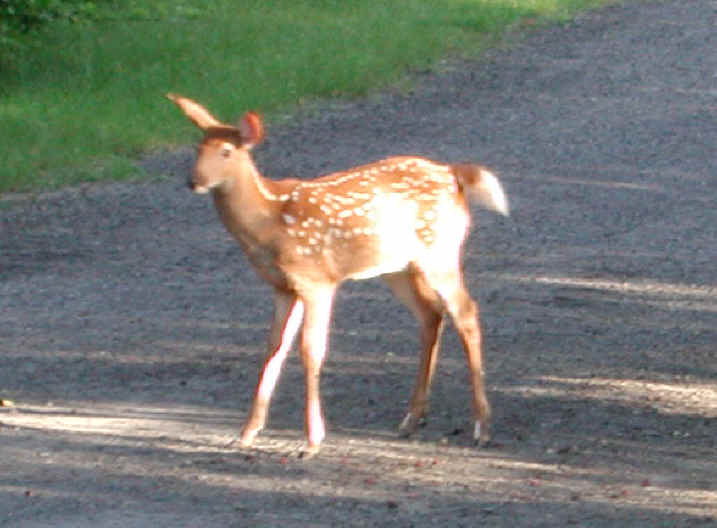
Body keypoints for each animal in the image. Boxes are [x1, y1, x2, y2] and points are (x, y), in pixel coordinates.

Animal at [167, 94, 509, 456]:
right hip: (397, 266)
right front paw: (247, 432)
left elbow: (311, 350)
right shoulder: (283, 286)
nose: (194, 181)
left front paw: (312, 441)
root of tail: (454, 174)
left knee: (466, 313)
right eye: (197, 148)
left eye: (226, 151)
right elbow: (274, 347)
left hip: (439, 251)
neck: (268, 222)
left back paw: (481, 428)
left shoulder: (317, 280)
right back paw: (412, 419)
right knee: (431, 313)